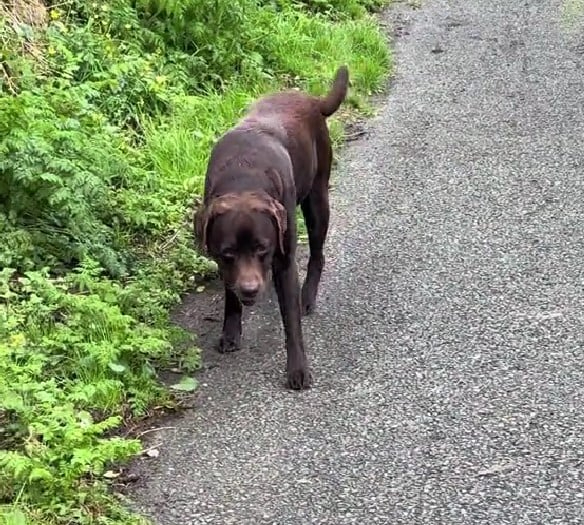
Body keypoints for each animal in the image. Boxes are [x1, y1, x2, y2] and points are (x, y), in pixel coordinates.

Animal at [194, 65, 350, 386]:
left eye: (262, 249)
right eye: (227, 254)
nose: (251, 289)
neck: (243, 177)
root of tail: (311, 100)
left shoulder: (284, 260)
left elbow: (291, 321)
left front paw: (298, 369)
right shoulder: (225, 265)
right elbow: (230, 297)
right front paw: (230, 333)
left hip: (317, 201)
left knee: (317, 254)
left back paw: (307, 296)